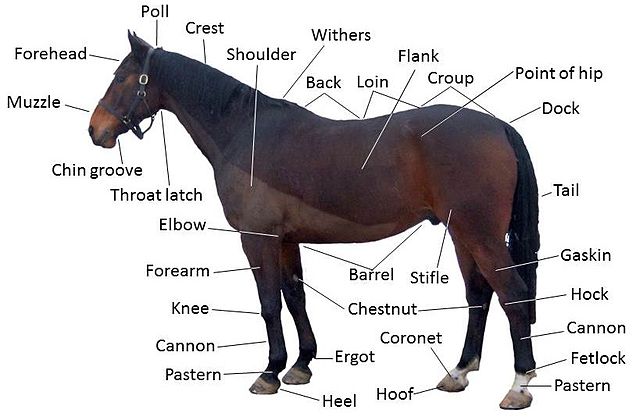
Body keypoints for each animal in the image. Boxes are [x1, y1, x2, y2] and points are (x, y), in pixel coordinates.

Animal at [89, 32, 540, 409]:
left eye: (122, 78)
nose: (95, 130)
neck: (246, 132)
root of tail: (498, 126)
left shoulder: (257, 238)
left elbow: (269, 302)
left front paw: (269, 372)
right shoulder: (287, 240)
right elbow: (295, 297)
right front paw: (301, 365)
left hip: (479, 234)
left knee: (513, 295)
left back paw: (518, 387)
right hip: (462, 234)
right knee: (479, 296)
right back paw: (459, 372)